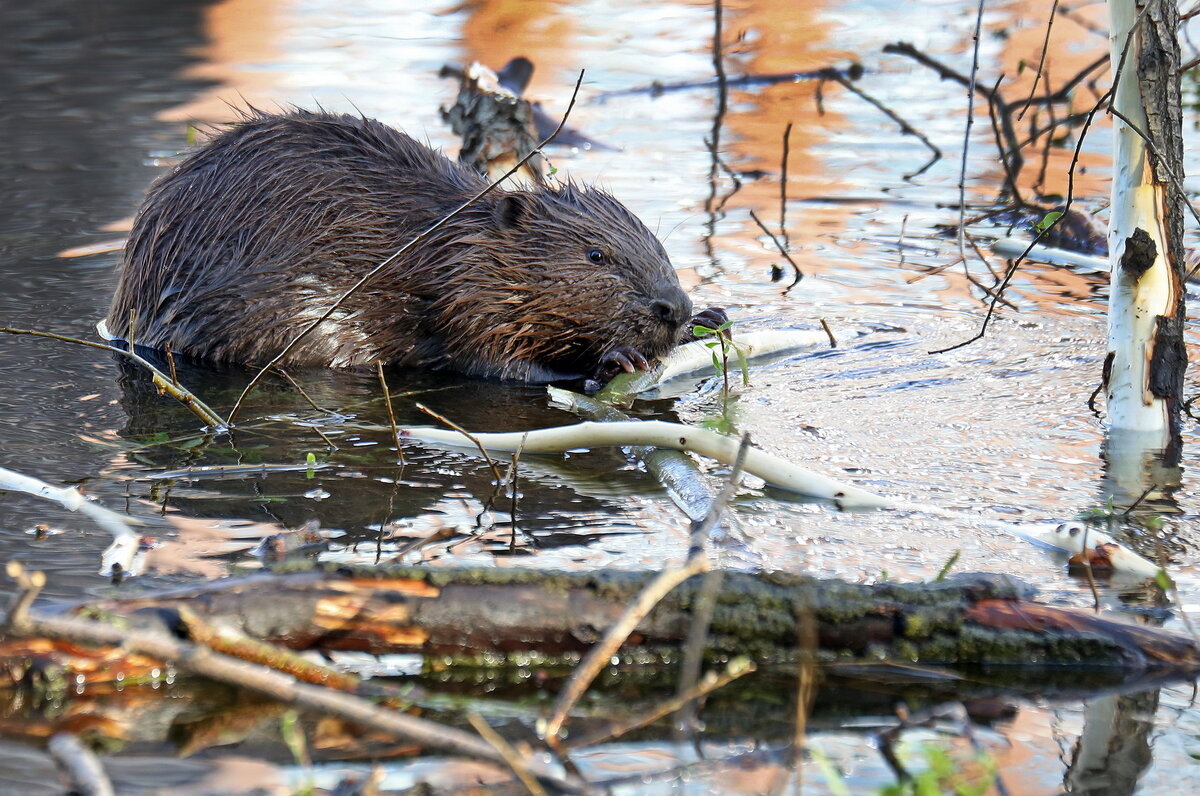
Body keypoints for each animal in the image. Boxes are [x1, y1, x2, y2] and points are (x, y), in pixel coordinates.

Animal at [105, 110, 720, 384]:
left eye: (661, 250)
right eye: (596, 256)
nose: (673, 306)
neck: (450, 239)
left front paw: (711, 317)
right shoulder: (465, 297)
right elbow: (495, 364)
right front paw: (613, 360)